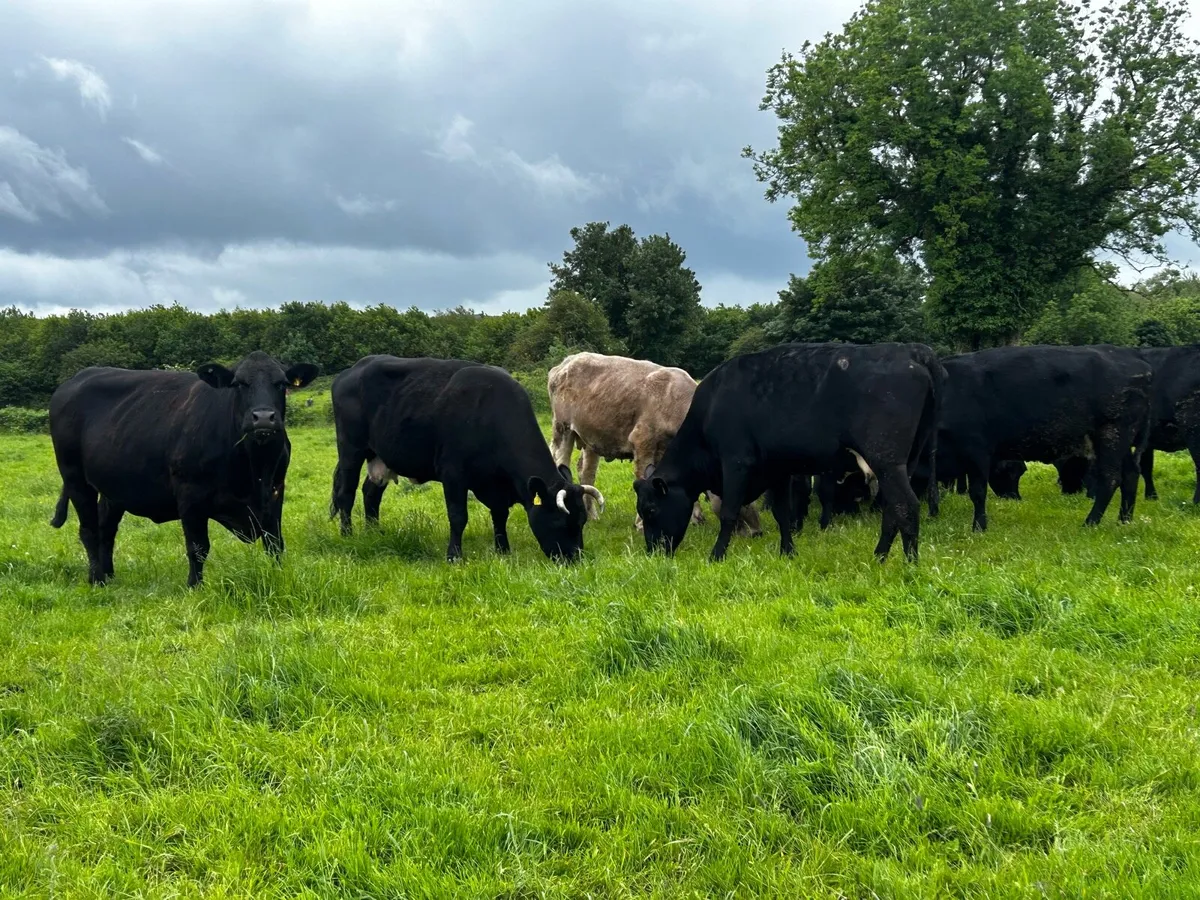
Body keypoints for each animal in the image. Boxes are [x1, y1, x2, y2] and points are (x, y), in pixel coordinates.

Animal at [48, 351, 319, 587]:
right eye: (238, 384)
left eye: (282, 384)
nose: (263, 417)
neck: (254, 467)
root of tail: (76, 379)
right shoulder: (190, 494)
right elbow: (198, 548)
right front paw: (194, 586)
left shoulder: (275, 491)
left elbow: (274, 543)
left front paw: (278, 576)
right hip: (75, 477)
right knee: (89, 530)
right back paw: (97, 579)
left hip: (113, 488)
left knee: (106, 528)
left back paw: (109, 574)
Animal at [330, 355, 601, 562]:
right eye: (559, 522)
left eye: (582, 521)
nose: (574, 559)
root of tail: (349, 371)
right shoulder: (453, 474)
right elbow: (458, 516)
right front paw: (454, 556)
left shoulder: (494, 484)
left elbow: (500, 515)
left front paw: (503, 550)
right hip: (351, 450)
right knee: (346, 493)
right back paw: (347, 535)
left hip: (380, 457)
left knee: (371, 493)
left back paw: (374, 532)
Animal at [547, 351, 761, 536]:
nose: (757, 532)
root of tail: (567, 361)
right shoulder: (643, 440)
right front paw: (642, 524)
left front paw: (694, 518)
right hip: (562, 428)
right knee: (560, 462)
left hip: (592, 438)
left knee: (587, 472)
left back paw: (592, 515)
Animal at [633, 342, 945, 562]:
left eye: (650, 509)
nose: (653, 552)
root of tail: (912, 352)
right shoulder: (778, 469)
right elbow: (783, 512)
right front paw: (788, 552)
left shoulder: (736, 462)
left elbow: (730, 512)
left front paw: (717, 555)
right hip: (905, 461)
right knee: (892, 508)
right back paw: (879, 556)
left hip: (886, 460)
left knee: (906, 506)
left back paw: (909, 564)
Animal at [936, 345, 1152, 532]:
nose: (1015, 499)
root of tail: (1133, 358)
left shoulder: (977, 450)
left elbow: (978, 492)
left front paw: (979, 528)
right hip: (1119, 439)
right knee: (1131, 473)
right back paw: (1124, 521)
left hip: (1112, 433)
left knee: (1111, 477)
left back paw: (1090, 523)